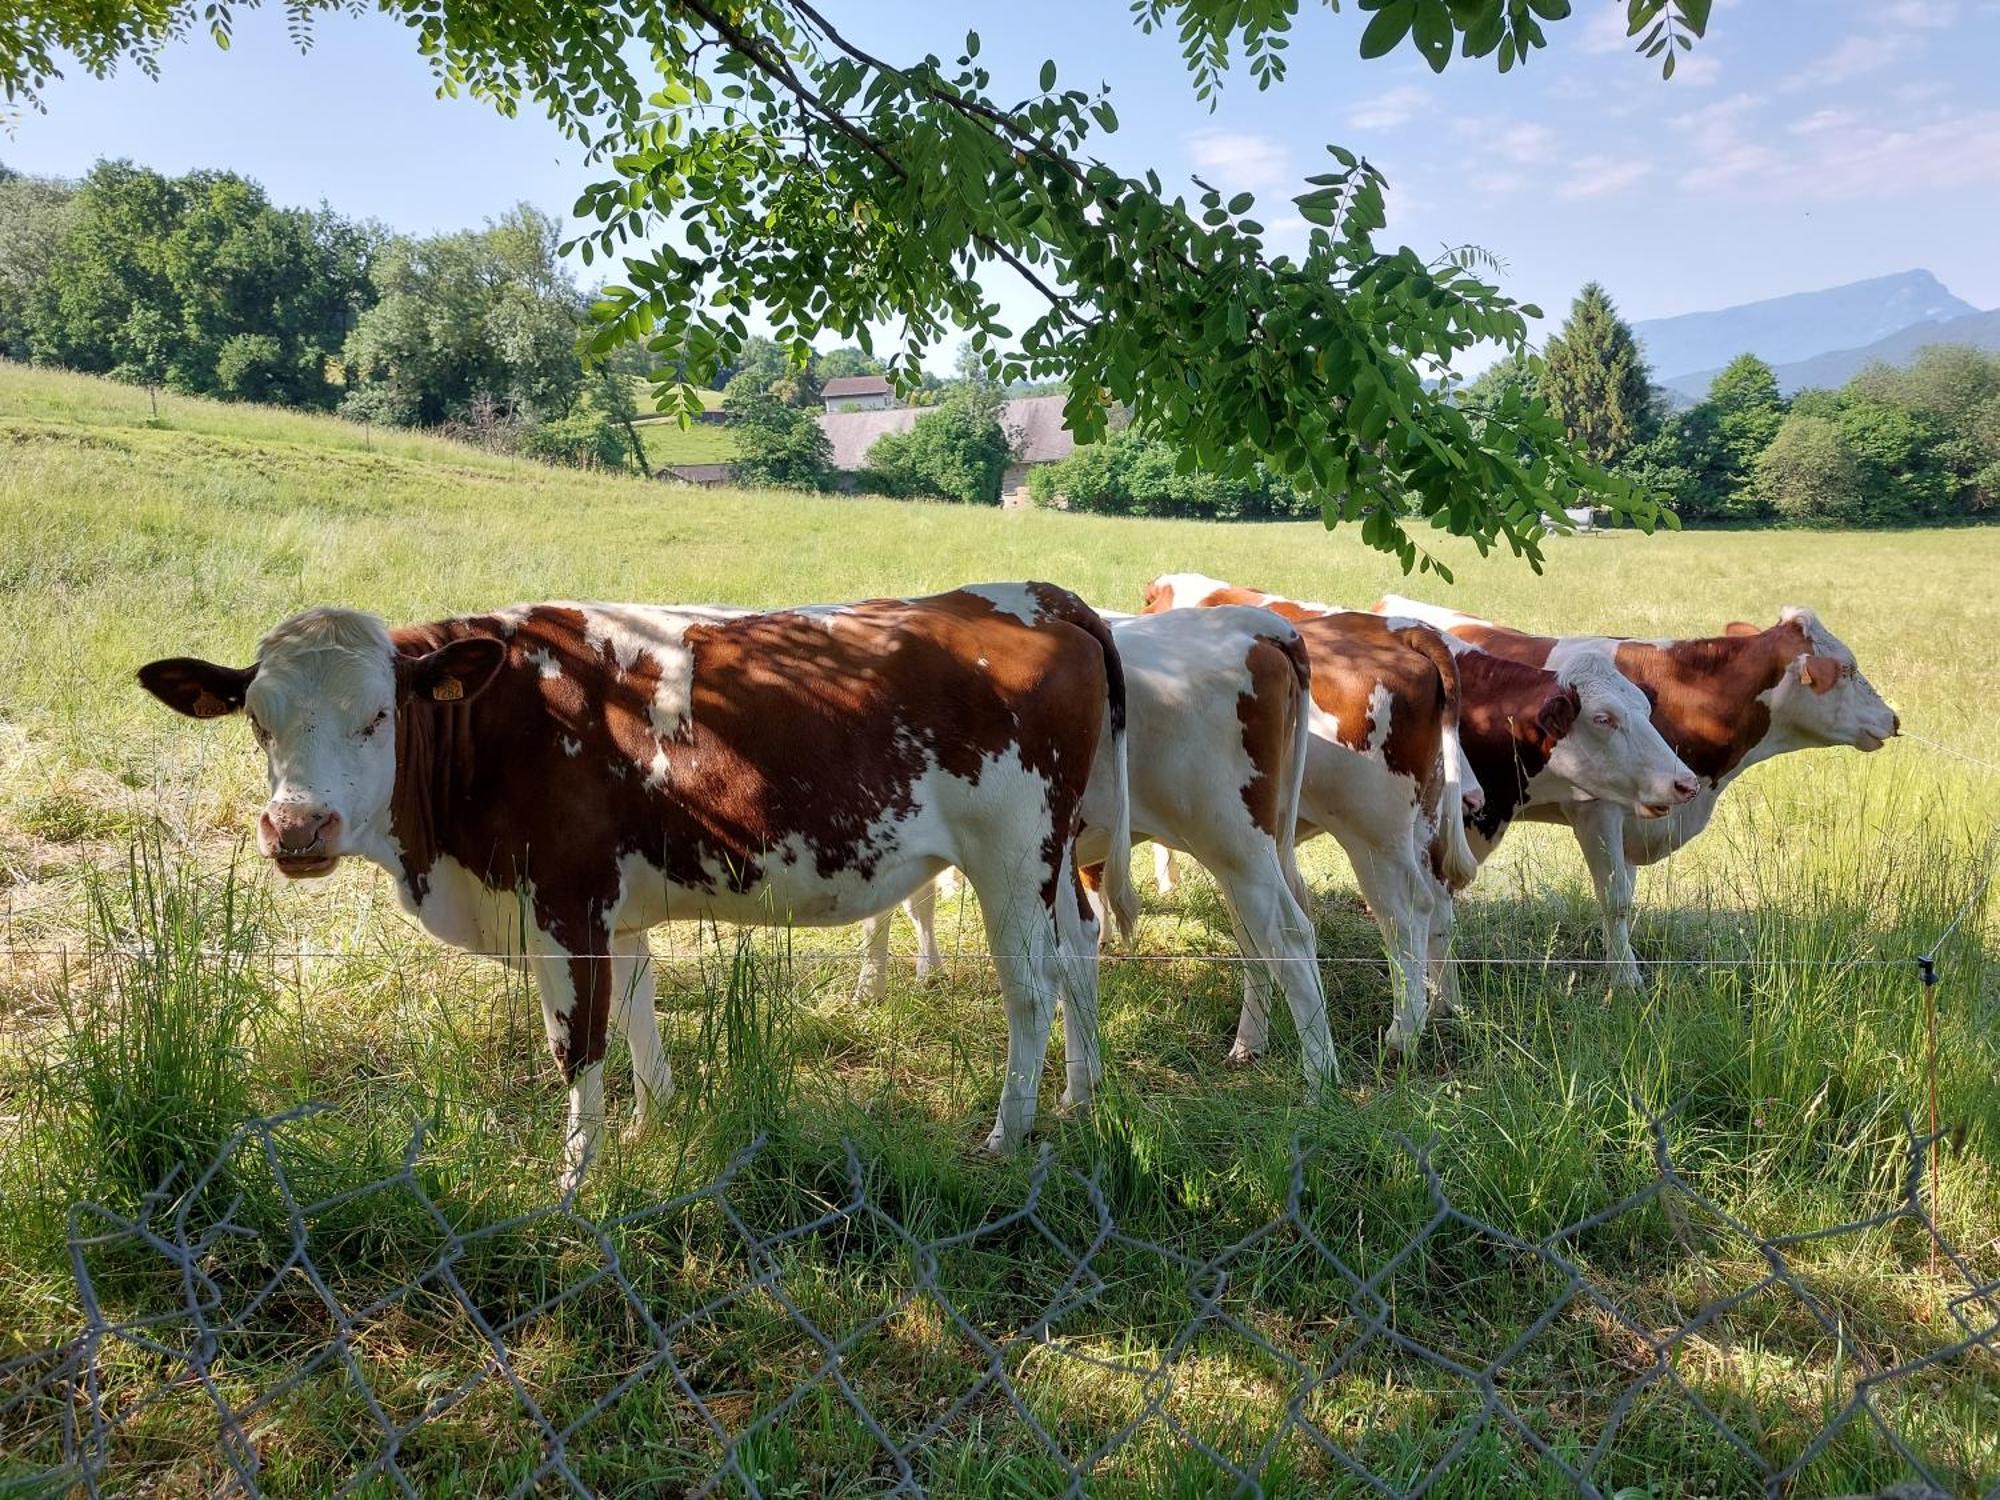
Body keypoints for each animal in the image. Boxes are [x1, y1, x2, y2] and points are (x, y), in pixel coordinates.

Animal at [137, 580, 1144, 1192]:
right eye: (258, 721)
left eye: (377, 715)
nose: (296, 828)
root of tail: (1030, 596)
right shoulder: (613, 909)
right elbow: (637, 1009)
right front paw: (651, 1127)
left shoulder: (565, 900)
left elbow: (578, 1043)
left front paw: (574, 1179)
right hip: (1054, 854)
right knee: (1082, 952)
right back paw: (1081, 1094)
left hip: (1010, 848)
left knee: (1031, 986)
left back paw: (1010, 1131)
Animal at [852, 612, 1336, 1096]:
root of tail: (1248, 622)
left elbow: (896, 907)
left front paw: (876, 986)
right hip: (1238, 853)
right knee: (1253, 938)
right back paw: (1249, 1044)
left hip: (1233, 838)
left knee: (1288, 936)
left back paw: (1319, 1080)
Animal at [1136, 576, 1480, 1056]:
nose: (1473, 797)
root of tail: (1399, 631)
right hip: (1418, 824)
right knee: (1439, 905)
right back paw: (1445, 1008)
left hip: (1368, 833)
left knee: (1405, 910)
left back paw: (1402, 1034)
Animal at [1368, 592, 1896, 992]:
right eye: (1848, 669)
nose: (1893, 719)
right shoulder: (1596, 811)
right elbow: (1616, 897)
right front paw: (1626, 980)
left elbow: (1627, 892)